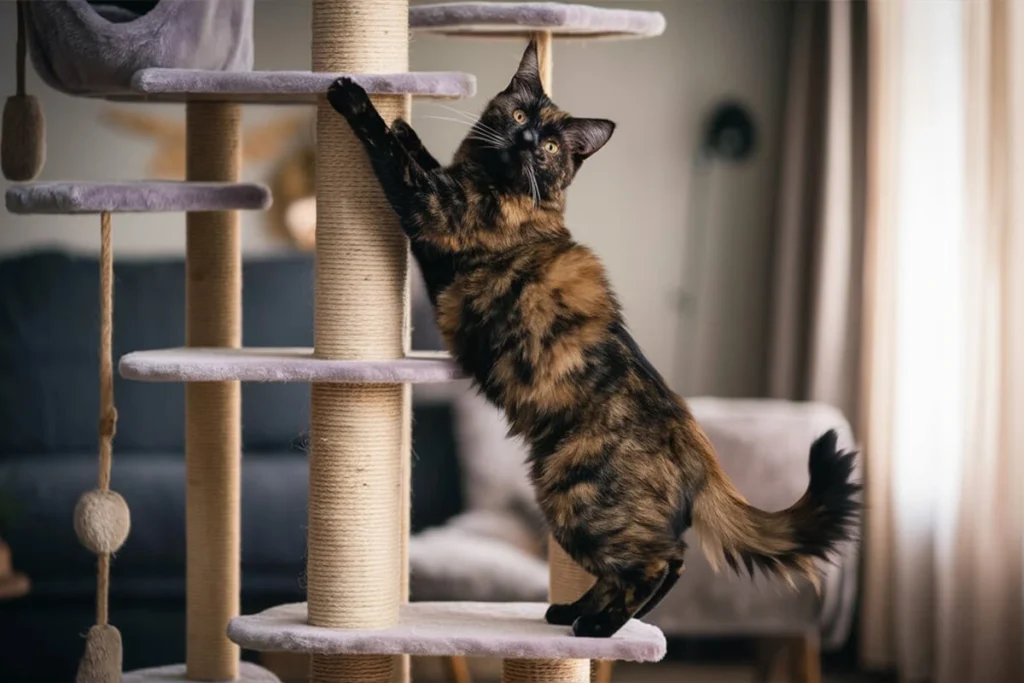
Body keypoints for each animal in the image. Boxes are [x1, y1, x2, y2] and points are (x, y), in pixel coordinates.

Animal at [329, 40, 864, 638]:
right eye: (520, 116)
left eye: (551, 146)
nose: (527, 141)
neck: (493, 181)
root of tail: (698, 446)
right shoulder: (440, 225)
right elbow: (420, 158)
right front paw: (407, 127)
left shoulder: (433, 213)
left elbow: (395, 160)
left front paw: (357, 99)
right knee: (641, 565)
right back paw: (576, 612)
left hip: (578, 501)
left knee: (664, 560)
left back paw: (602, 627)